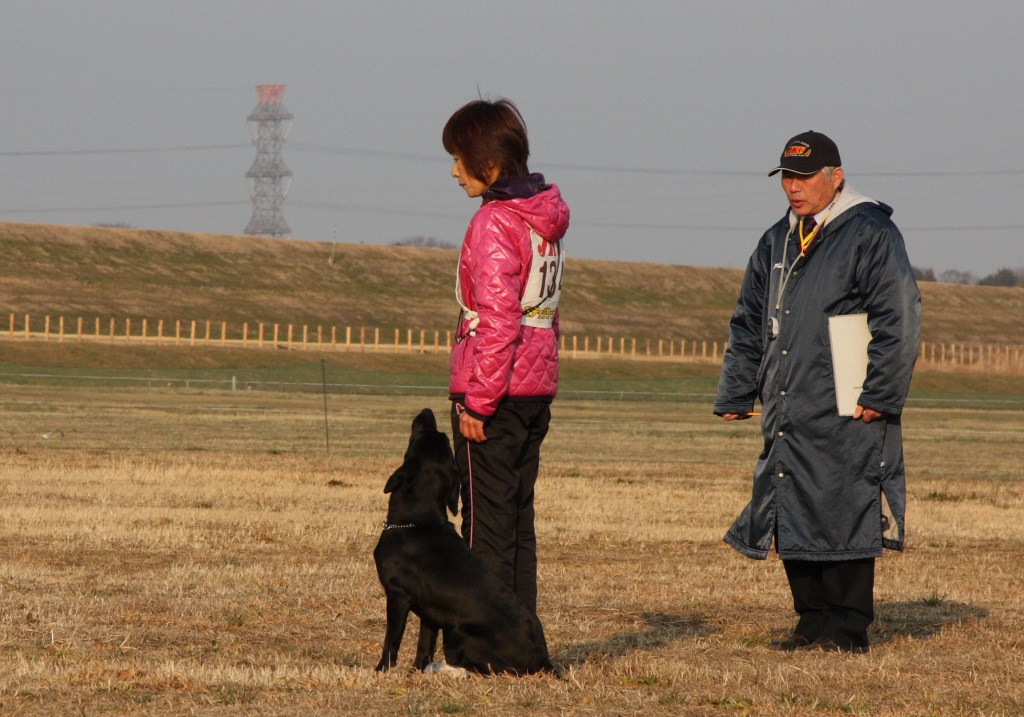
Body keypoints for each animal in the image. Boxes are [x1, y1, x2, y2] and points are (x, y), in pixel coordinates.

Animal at [374, 405, 552, 676]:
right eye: (443, 440)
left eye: (424, 437)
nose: (427, 411)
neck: (417, 521)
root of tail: (544, 660)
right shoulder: (430, 613)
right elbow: (424, 645)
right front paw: (417, 671)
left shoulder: (397, 596)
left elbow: (391, 641)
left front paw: (380, 670)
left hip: (457, 632)